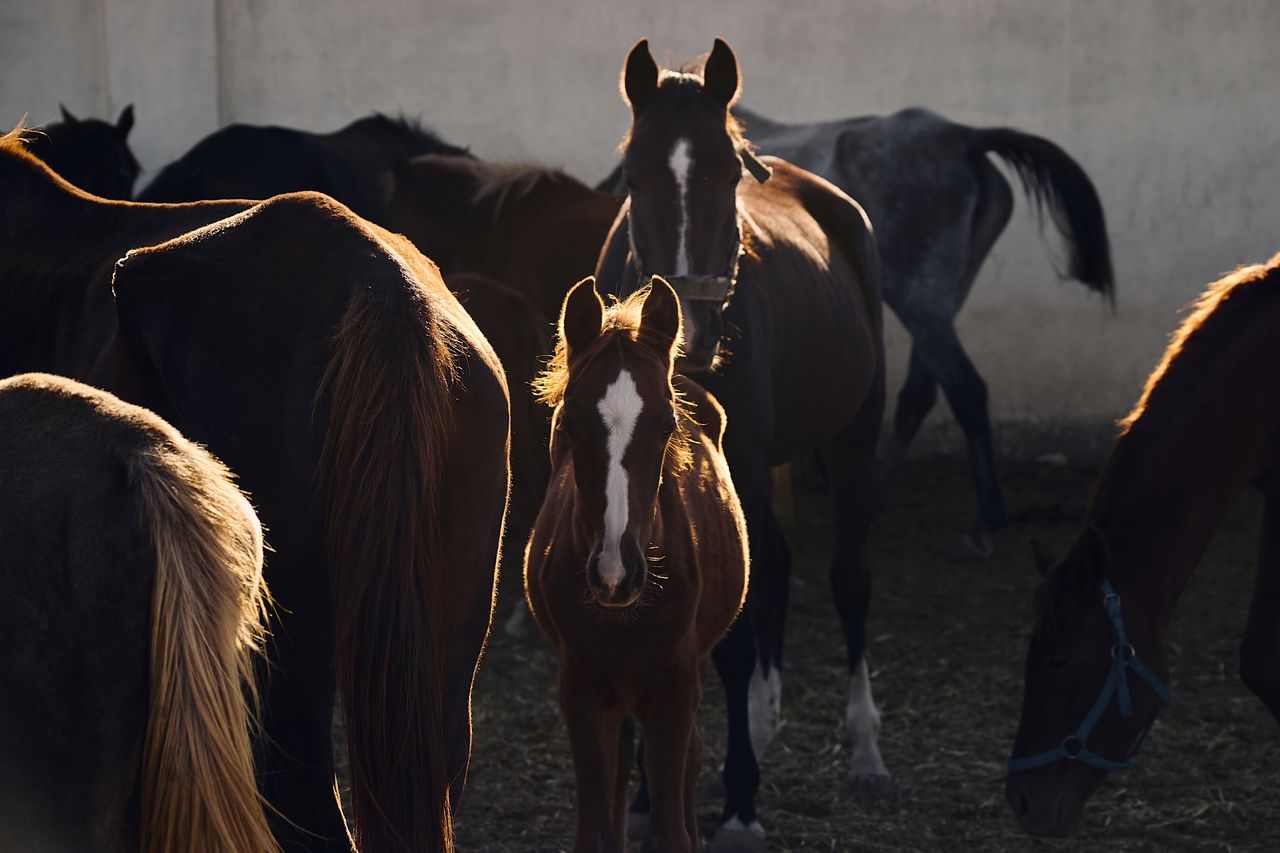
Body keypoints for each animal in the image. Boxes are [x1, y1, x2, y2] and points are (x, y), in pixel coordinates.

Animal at [525, 278, 749, 853]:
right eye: (568, 423)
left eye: (668, 424)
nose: (614, 574)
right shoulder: (580, 691)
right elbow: (597, 829)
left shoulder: (675, 689)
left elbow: (672, 828)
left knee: (691, 758)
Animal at [595, 39, 886, 847]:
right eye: (633, 177)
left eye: (728, 175)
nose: (693, 339)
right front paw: (643, 793)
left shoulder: (747, 469)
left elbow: (727, 639)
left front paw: (741, 806)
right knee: (775, 568)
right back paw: (759, 718)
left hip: (853, 438)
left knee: (849, 578)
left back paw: (864, 749)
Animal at [600, 106, 1115, 558]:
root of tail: (965, 138)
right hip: (937, 298)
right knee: (922, 392)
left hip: (919, 296)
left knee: (965, 388)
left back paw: (980, 524)